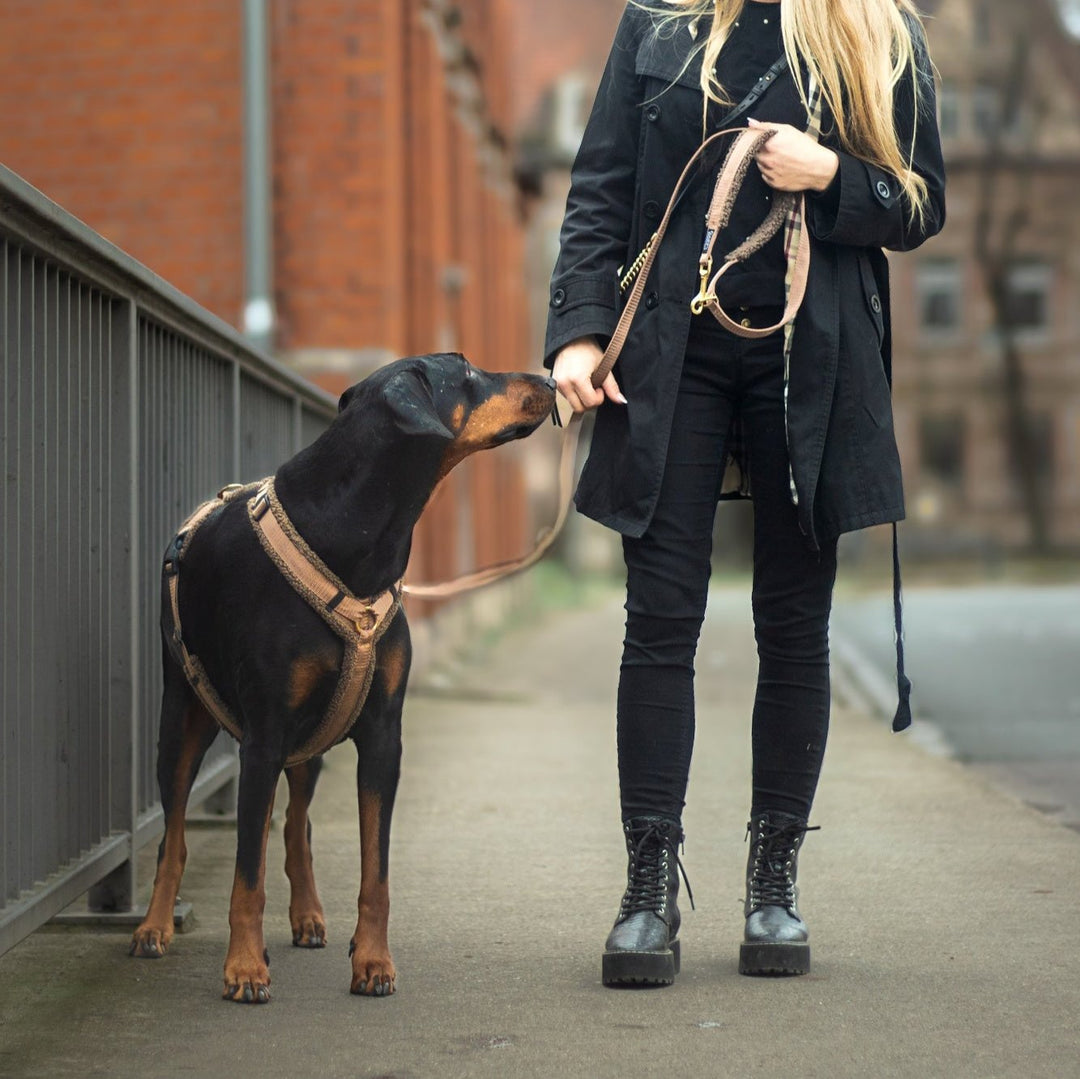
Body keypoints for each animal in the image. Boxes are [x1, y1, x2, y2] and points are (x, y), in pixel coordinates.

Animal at [128, 354, 557, 1002]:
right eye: (466, 373)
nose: (552, 380)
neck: (353, 535)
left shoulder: (382, 735)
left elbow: (374, 870)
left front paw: (373, 962)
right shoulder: (263, 736)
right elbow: (245, 874)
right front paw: (244, 968)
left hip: (311, 738)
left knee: (297, 824)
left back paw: (307, 915)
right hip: (183, 713)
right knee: (173, 835)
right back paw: (154, 927)